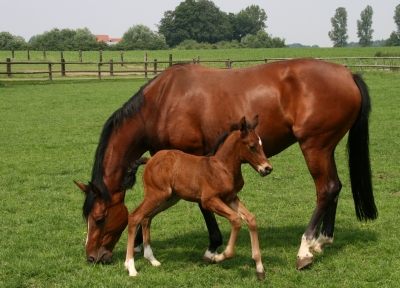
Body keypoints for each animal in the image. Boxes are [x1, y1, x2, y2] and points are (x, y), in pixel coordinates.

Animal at [122, 115, 272, 280]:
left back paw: (152, 259)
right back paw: (130, 267)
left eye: (261, 144)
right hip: (156, 195)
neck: (222, 168)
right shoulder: (209, 201)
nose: (267, 169)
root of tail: (150, 160)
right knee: (135, 216)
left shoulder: (231, 198)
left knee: (146, 218)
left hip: (168, 198)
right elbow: (236, 219)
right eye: (252, 146)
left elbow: (251, 219)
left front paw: (259, 268)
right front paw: (217, 257)